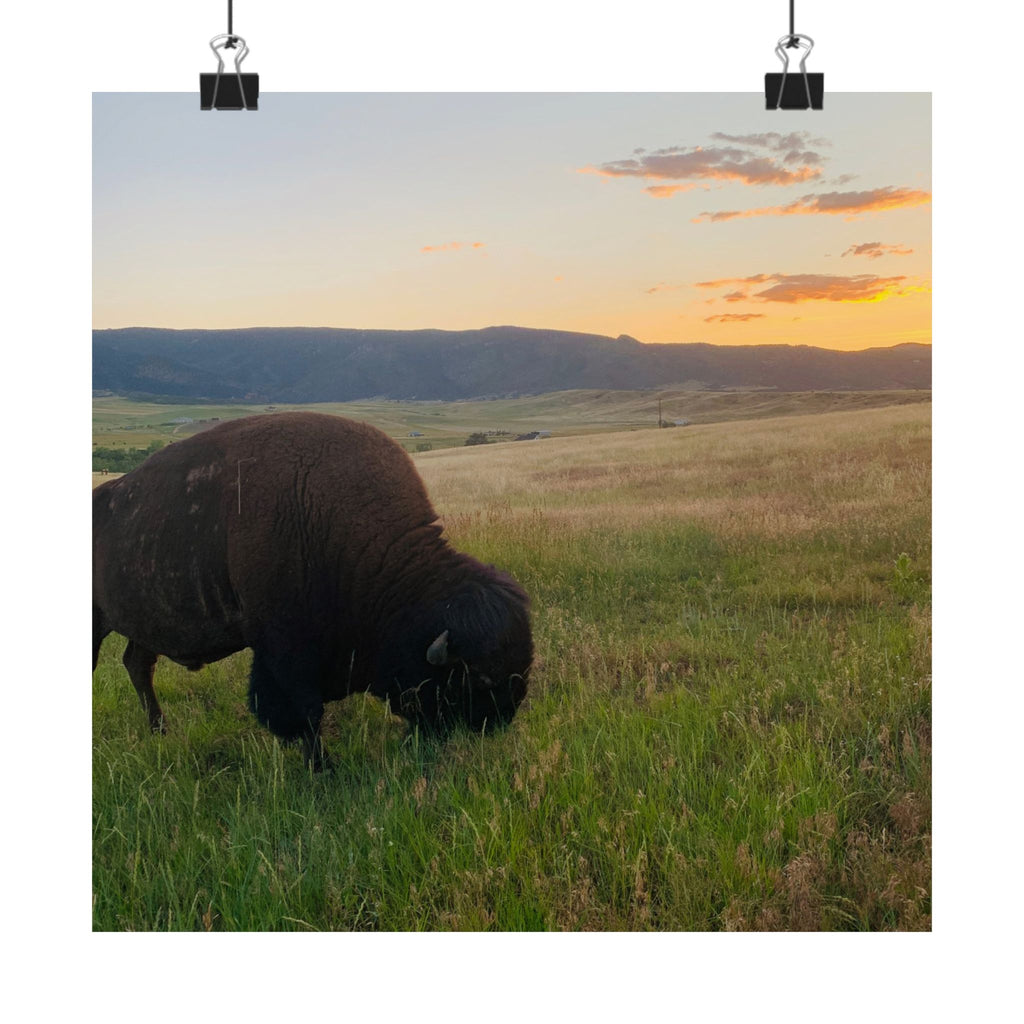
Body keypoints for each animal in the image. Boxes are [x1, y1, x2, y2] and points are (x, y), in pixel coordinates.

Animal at [92, 412, 532, 769]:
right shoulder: (285, 650)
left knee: (138, 664)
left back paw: (160, 731)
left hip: (145, 623)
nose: (495, 726)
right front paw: (322, 767)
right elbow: (303, 711)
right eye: (479, 681)